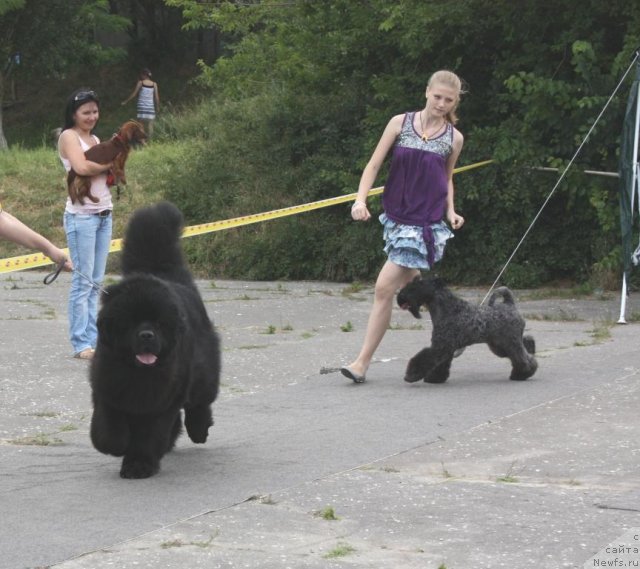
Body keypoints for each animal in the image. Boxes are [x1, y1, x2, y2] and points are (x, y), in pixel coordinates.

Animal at [89, 202, 221, 478]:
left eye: (160, 322)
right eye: (129, 322)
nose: (147, 335)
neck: (138, 374)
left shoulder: (161, 403)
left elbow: (149, 436)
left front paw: (138, 465)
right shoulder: (108, 390)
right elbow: (108, 431)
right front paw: (118, 447)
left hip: (203, 372)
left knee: (199, 403)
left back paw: (199, 430)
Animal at [398, 278, 536, 384]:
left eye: (416, 286)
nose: (400, 297)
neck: (450, 309)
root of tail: (510, 305)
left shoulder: (440, 347)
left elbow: (424, 358)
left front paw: (411, 376)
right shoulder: (446, 348)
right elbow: (440, 364)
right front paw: (435, 378)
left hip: (509, 343)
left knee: (522, 358)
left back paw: (522, 374)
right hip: (499, 345)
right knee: (524, 352)